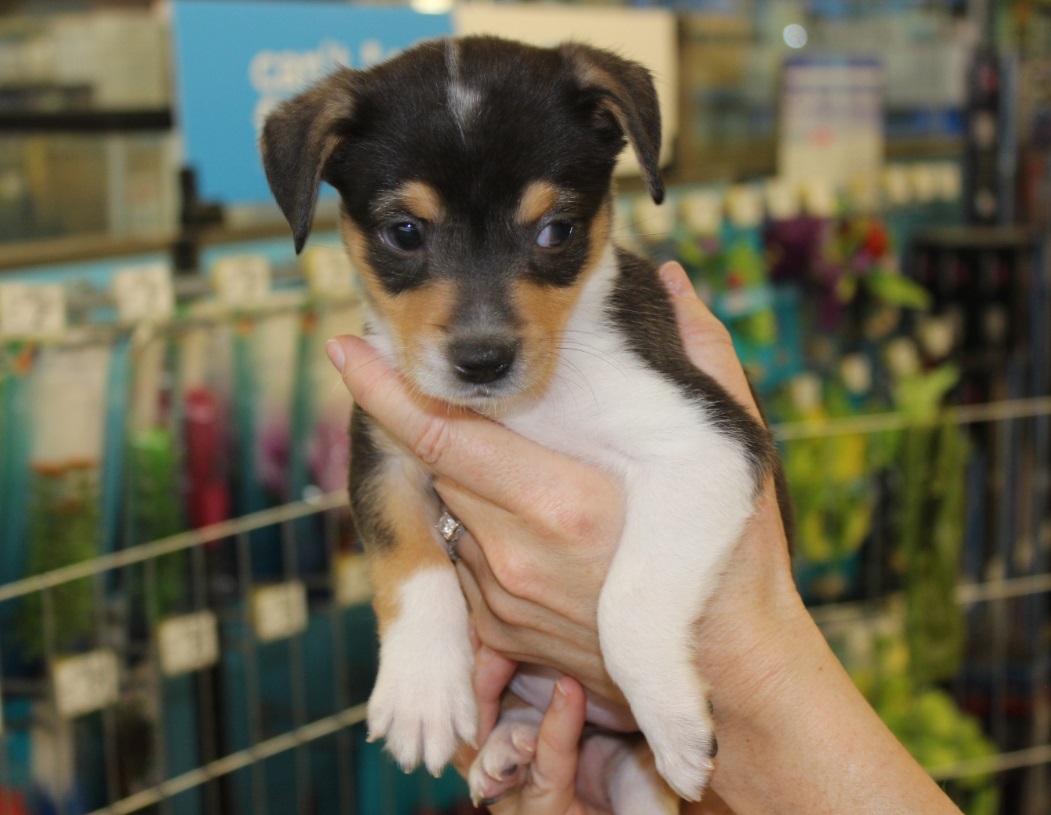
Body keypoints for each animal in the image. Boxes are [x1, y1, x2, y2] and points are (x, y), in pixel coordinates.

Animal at [258, 36, 777, 807]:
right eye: (403, 232)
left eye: (555, 230)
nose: (482, 360)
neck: (518, 412)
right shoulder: (382, 450)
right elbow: (406, 560)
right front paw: (420, 692)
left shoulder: (707, 442)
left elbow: (626, 601)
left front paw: (674, 722)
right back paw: (506, 747)